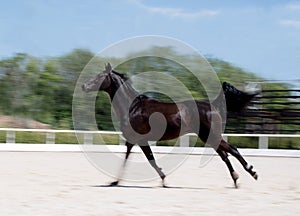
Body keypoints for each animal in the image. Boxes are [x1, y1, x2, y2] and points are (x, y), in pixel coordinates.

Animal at [82, 63, 258, 187]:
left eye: (100, 76)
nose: (84, 86)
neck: (133, 107)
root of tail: (213, 106)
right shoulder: (135, 141)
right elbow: (144, 159)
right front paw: (116, 181)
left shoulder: (138, 139)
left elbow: (146, 159)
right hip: (208, 136)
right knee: (225, 155)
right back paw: (236, 179)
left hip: (211, 135)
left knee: (232, 150)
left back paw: (252, 172)